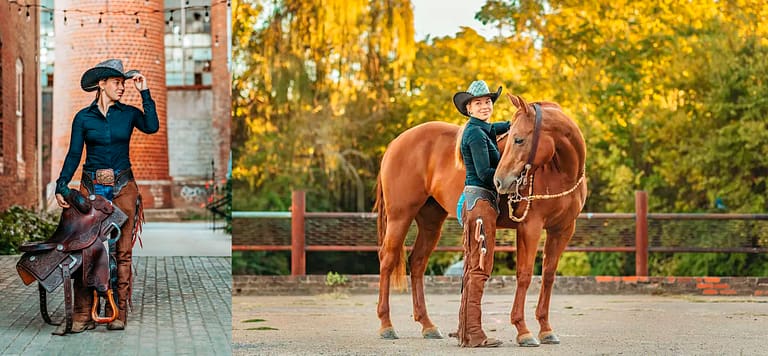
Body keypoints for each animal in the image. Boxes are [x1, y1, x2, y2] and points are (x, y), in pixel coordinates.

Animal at [376, 93, 584, 346]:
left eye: (519, 139)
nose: (500, 181)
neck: (561, 173)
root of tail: (395, 144)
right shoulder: (530, 227)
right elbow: (524, 275)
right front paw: (523, 331)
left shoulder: (562, 230)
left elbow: (548, 275)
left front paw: (546, 329)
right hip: (400, 217)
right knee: (387, 260)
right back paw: (386, 325)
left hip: (430, 222)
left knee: (417, 263)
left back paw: (428, 325)